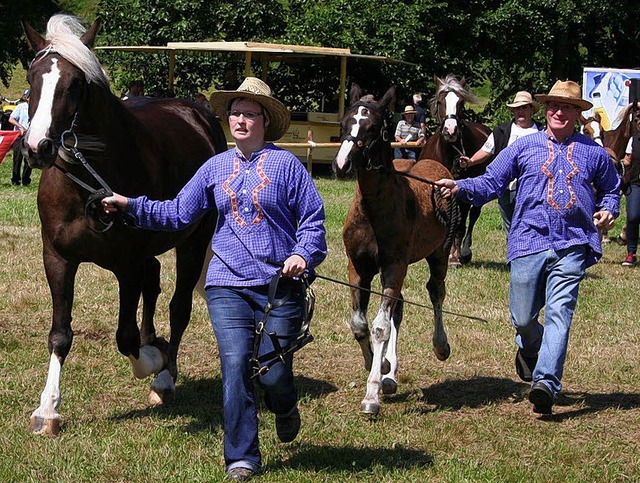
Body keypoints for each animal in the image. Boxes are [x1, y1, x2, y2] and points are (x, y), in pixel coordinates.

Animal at [21, 16, 228, 438]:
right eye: (33, 78)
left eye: (75, 84)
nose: (37, 148)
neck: (87, 182)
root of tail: (199, 115)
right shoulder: (57, 258)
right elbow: (60, 335)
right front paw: (48, 409)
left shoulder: (127, 266)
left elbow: (125, 336)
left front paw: (154, 361)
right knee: (155, 281)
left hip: (193, 242)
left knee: (178, 306)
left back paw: (164, 376)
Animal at [332, 85, 458, 418]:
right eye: (345, 122)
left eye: (373, 127)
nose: (341, 164)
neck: (374, 209)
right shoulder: (358, 267)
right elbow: (360, 324)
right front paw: (380, 368)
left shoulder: (393, 266)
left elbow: (380, 327)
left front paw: (372, 395)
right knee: (398, 310)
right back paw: (390, 374)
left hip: (438, 254)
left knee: (436, 292)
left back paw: (440, 346)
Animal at [420, 74, 490, 268]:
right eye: (441, 102)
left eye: (461, 102)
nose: (450, 130)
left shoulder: (463, 191)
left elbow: (460, 223)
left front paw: (455, 256)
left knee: (473, 215)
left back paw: (465, 252)